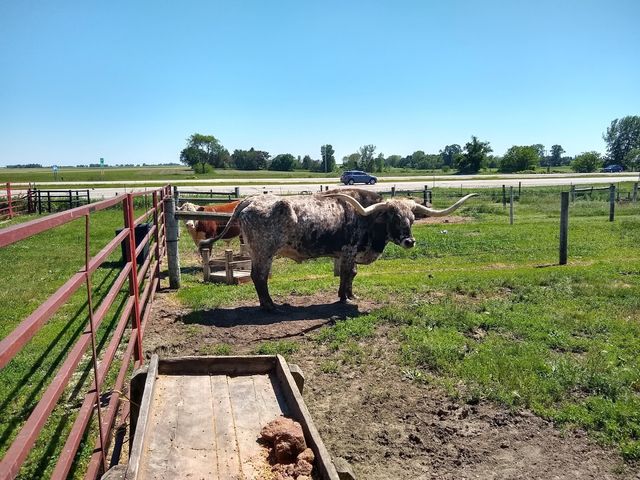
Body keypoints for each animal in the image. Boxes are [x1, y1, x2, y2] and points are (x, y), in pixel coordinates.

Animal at [200, 192, 477, 311]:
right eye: (393, 216)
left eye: (412, 218)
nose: (410, 241)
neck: (367, 219)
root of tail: (249, 199)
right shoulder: (348, 252)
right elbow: (346, 274)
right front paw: (344, 298)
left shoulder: (349, 255)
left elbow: (352, 275)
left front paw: (351, 295)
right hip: (263, 252)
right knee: (259, 278)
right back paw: (270, 306)